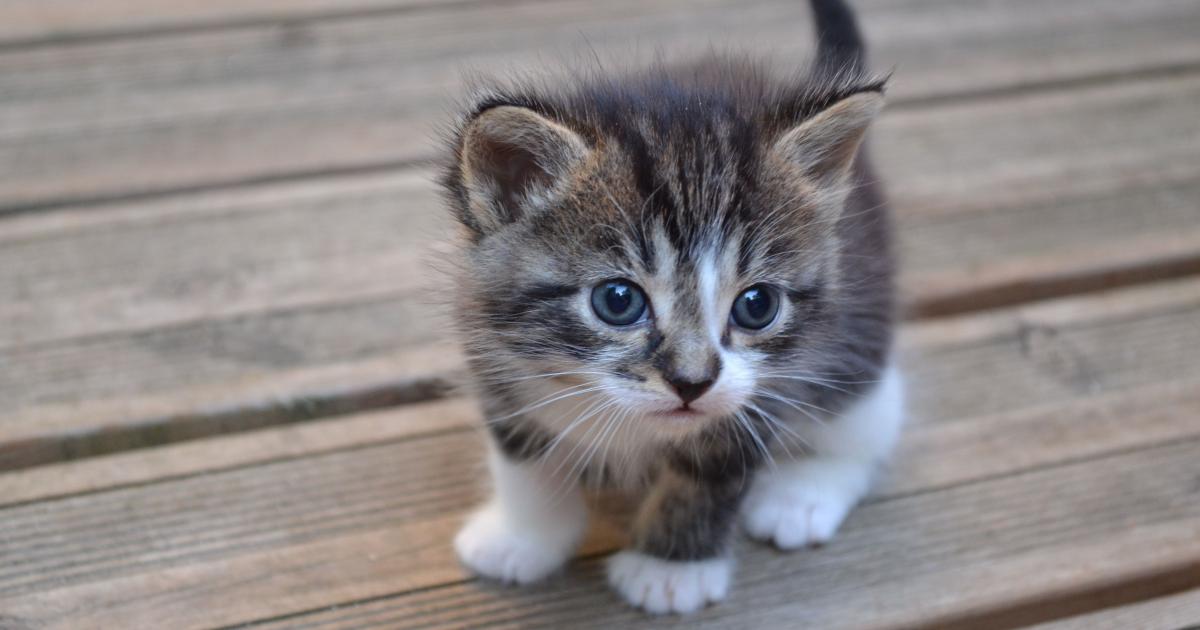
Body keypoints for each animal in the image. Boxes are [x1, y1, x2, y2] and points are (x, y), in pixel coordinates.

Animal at [439, 0, 902, 612]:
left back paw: (802, 494)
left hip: (858, 323)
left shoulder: (762, 387)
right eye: (617, 301)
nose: (692, 382)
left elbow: (713, 467)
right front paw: (524, 538)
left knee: (869, 413)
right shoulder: (491, 348)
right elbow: (522, 451)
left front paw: (670, 568)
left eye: (757, 305)